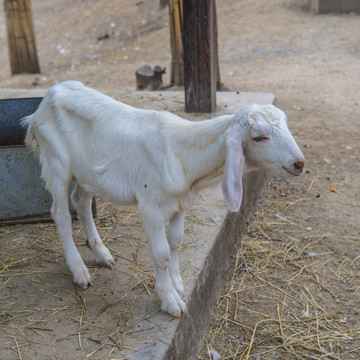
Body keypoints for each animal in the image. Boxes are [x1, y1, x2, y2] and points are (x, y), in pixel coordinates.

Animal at [21, 80, 304, 316]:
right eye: (259, 137)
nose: (299, 163)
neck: (183, 155)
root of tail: (51, 93)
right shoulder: (150, 206)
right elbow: (161, 253)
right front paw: (169, 300)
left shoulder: (181, 203)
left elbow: (176, 241)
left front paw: (177, 283)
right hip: (56, 162)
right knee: (59, 212)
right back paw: (79, 270)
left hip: (87, 173)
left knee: (80, 200)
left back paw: (101, 253)